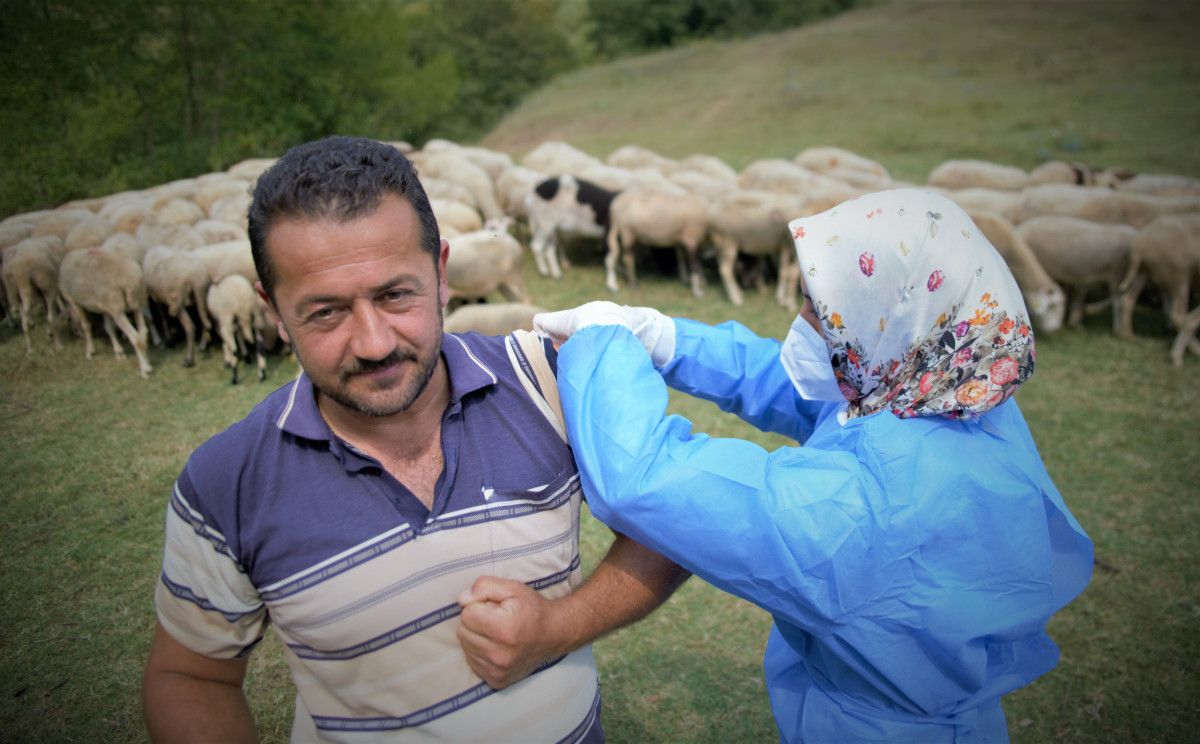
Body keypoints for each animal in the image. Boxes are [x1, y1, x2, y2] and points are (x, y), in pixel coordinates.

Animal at [57, 246, 152, 376]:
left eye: (69, 319)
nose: (75, 332)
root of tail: (130, 280)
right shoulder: (106, 307)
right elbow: (108, 328)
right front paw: (119, 352)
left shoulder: (73, 301)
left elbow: (86, 325)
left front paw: (90, 351)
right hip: (136, 303)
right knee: (143, 332)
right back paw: (147, 364)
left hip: (118, 309)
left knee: (135, 337)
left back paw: (144, 370)